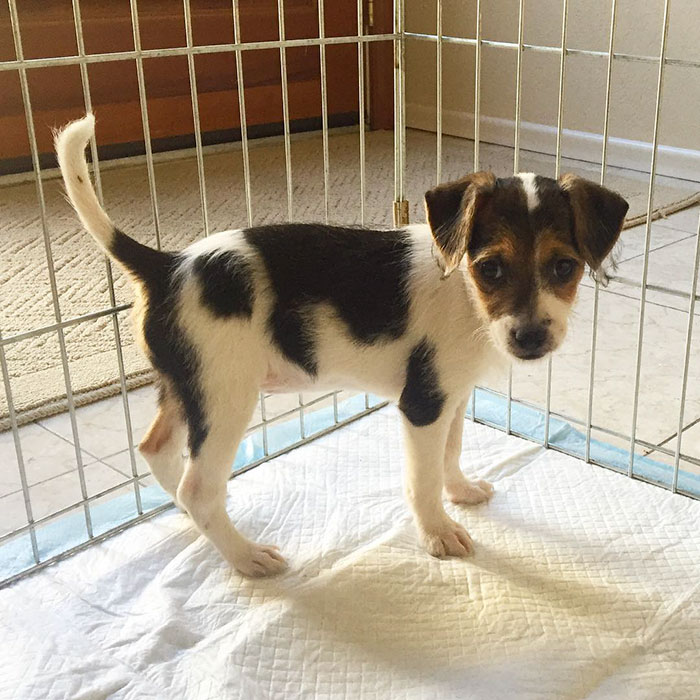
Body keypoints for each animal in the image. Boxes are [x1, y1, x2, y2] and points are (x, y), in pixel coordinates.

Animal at [53, 116, 624, 576]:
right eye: (491, 268)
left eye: (564, 267)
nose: (530, 337)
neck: (465, 294)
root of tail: (166, 265)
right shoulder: (422, 405)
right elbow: (422, 479)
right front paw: (438, 532)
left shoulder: (454, 396)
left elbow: (451, 452)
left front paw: (461, 491)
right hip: (224, 396)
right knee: (199, 487)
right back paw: (246, 556)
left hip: (187, 384)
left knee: (159, 453)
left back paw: (195, 519)